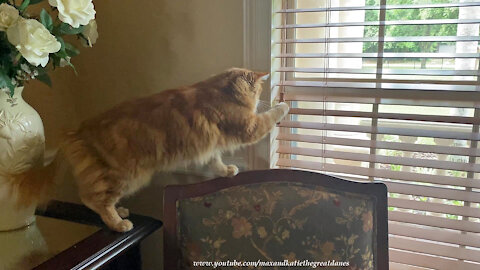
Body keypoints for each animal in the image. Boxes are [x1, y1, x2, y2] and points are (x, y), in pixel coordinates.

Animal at [11, 68, 288, 232]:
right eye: (259, 89)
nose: (263, 94)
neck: (221, 91)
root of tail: (77, 131)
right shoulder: (249, 126)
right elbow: (270, 116)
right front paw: (282, 104)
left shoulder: (211, 147)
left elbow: (215, 162)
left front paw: (227, 170)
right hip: (128, 176)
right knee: (93, 199)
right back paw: (119, 223)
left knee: (97, 198)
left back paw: (120, 211)